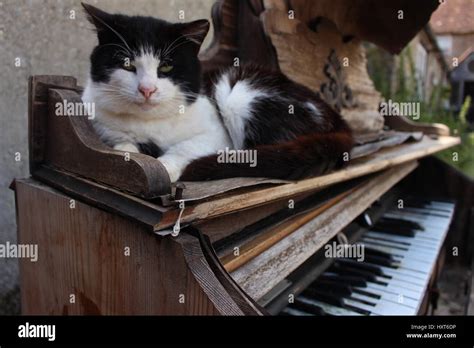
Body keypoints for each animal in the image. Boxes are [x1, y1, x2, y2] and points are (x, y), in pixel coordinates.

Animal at [80, 3, 352, 182]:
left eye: (166, 66)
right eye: (127, 64)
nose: (147, 89)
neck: (150, 124)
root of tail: (338, 120)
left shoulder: (217, 136)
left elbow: (184, 147)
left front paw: (165, 167)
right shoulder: (100, 123)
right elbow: (123, 146)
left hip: (237, 93)